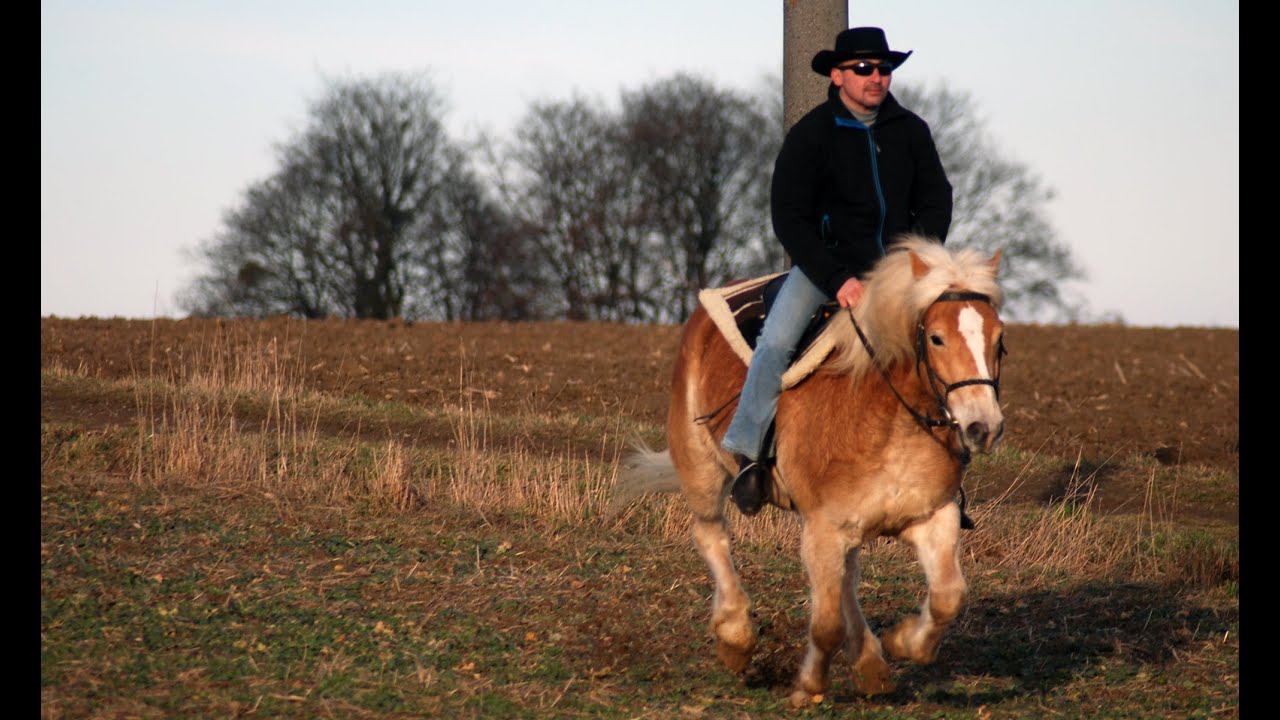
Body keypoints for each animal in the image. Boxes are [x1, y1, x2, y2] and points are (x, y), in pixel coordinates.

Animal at [611, 235, 1006, 707]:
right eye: (937, 338)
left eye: (1000, 340)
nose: (983, 427)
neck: (885, 417)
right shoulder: (823, 528)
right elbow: (827, 624)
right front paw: (809, 686)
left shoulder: (933, 516)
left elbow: (947, 596)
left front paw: (900, 643)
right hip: (700, 466)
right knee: (712, 536)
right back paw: (736, 637)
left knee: (847, 579)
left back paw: (870, 663)